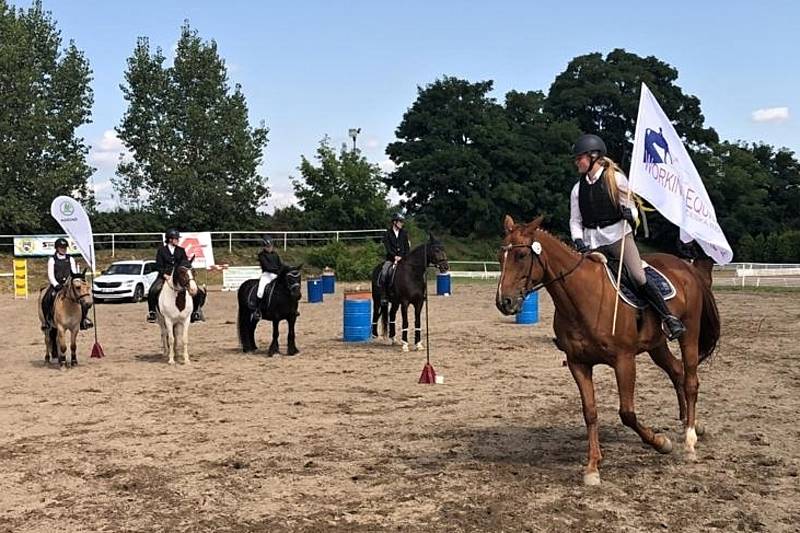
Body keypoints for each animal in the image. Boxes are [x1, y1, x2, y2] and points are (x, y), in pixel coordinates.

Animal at [494, 214, 720, 484]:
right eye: (500, 256)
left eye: (521, 256)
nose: (504, 302)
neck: (583, 297)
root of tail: (687, 268)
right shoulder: (578, 363)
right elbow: (590, 412)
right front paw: (593, 466)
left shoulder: (624, 361)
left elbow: (627, 413)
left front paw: (660, 442)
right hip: (656, 344)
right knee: (677, 371)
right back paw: (689, 423)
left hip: (689, 335)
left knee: (691, 381)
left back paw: (689, 440)